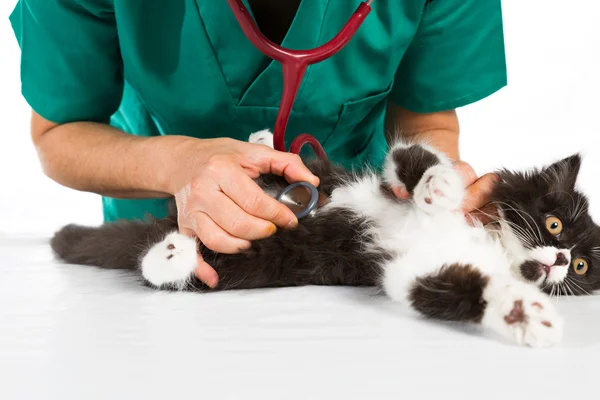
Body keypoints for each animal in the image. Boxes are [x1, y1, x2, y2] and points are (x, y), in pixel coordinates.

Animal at [51, 130, 600, 346]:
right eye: (554, 224)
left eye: (581, 267)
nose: (556, 259)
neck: (492, 244)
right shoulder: (391, 176)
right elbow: (411, 157)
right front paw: (440, 185)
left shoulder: (411, 268)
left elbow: (443, 288)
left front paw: (521, 313)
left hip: (253, 258)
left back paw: (169, 254)